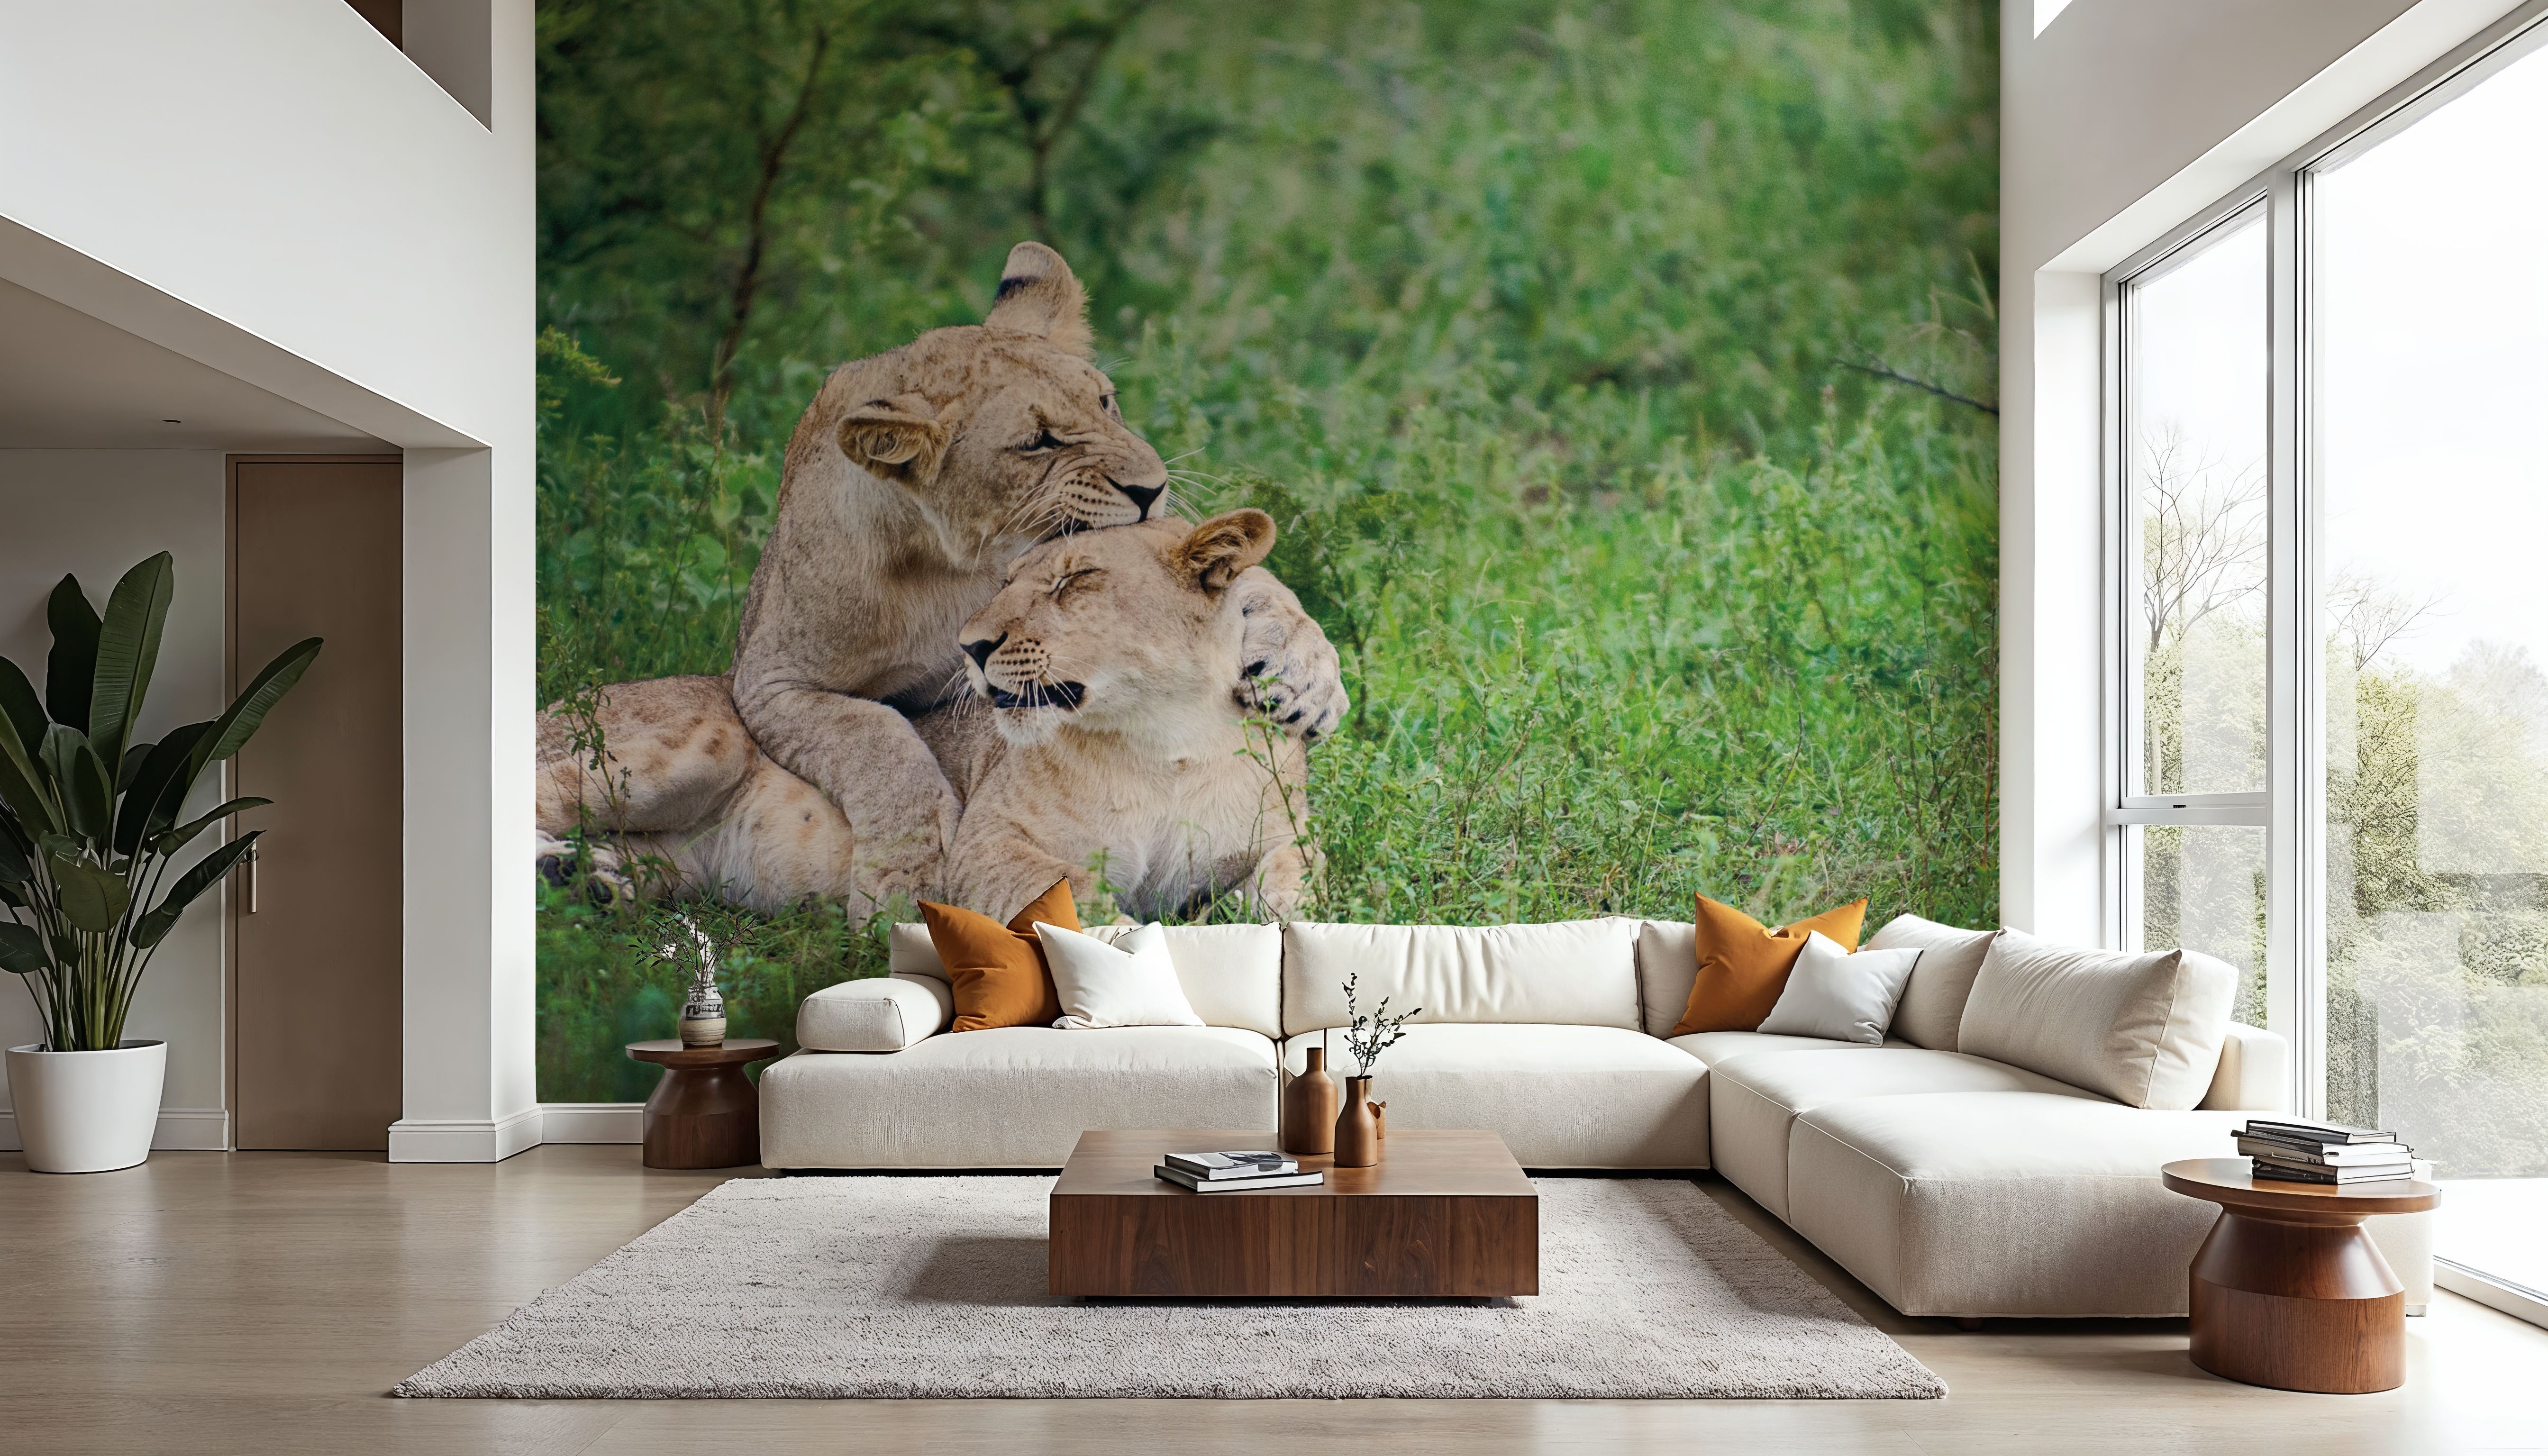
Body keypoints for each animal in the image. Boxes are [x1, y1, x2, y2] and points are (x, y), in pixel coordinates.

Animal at [536, 510, 1309, 922]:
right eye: (1008, 581)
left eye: (1074, 580)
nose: (971, 647)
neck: (1165, 742)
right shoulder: (986, 845)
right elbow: (1077, 898)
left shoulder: (1287, 841)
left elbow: (1293, 890)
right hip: (692, 752)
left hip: (677, 865)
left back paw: (587, 883)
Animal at [702, 240, 1342, 900]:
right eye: (1038, 442)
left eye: (1105, 401)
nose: (1153, 487)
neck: (961, 556)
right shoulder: (770, 683)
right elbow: (879, 742)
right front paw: (910, 874)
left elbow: (1253, 582)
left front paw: (1303, 674)